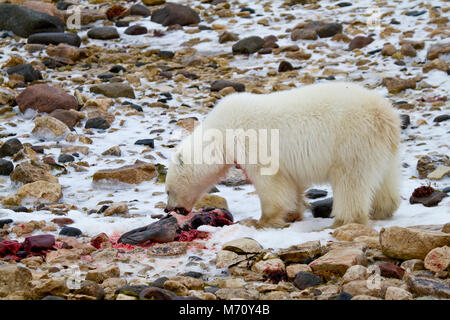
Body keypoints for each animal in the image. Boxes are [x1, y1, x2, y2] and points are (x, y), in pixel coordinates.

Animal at [164, 82, 400, 228]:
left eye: (168, 190)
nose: (168, 210)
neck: (221, 132)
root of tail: (385, 115)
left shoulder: (251, 143)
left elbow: (270, 183)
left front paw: (261, 221)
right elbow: (291, 184)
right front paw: (293, 214)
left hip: (351, 141)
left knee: (350, 181)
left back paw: (344, 220)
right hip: (383, 148)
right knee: (384, 179)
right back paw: (382, 210)